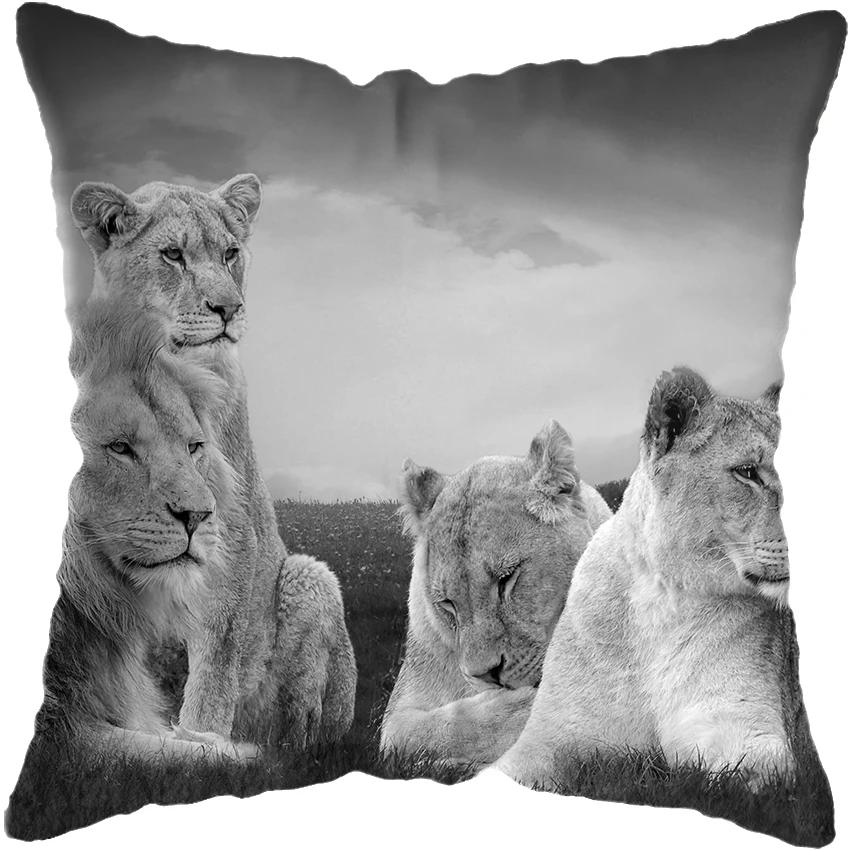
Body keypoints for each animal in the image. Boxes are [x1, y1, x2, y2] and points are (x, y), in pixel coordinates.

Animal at [70, 175, 357, 749]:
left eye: (229, 254)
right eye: (173, 255)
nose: (230, 309)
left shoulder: (232, 538)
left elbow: (215, 673)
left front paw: (202, 741)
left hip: (309, 577)